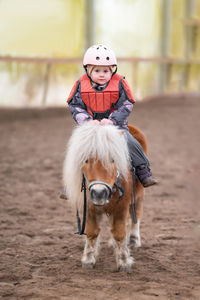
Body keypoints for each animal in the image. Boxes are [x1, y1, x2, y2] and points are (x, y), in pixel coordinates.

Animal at [63, 122, 147, 272]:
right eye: (86, 160)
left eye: (113, 160)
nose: (99, 193)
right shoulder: (89, 206)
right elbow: (92, 232)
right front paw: (88, 260)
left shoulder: (121, 206)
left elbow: (119, 232)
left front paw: (124, 262)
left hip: (138, 195)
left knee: (135, 215)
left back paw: (133, 240)